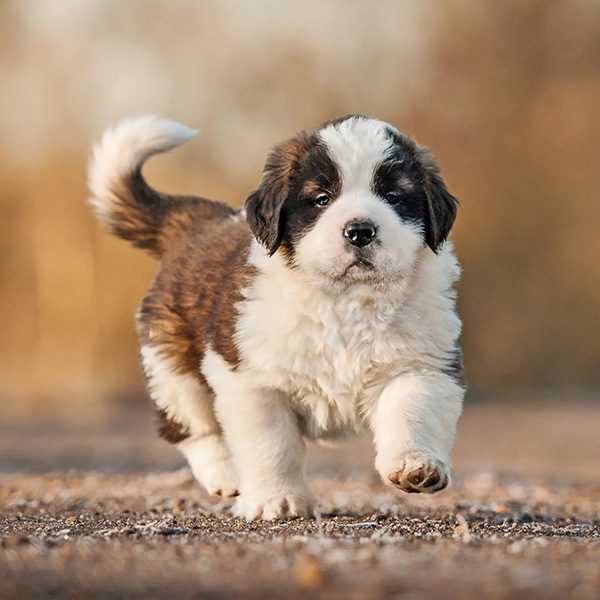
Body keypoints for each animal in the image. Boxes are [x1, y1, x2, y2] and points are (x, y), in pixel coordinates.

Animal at [88, 116, 464, 520]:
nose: (360, 230)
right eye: (322, 199)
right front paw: (278, 499)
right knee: (191, 426)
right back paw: (226, 474)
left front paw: (415, 466)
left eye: (394, 197)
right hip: (172, 366)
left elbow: (411, 411)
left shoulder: (422, 364)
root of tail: (200, 222)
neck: (346, 300)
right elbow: (272, 447)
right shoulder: (253, 381)